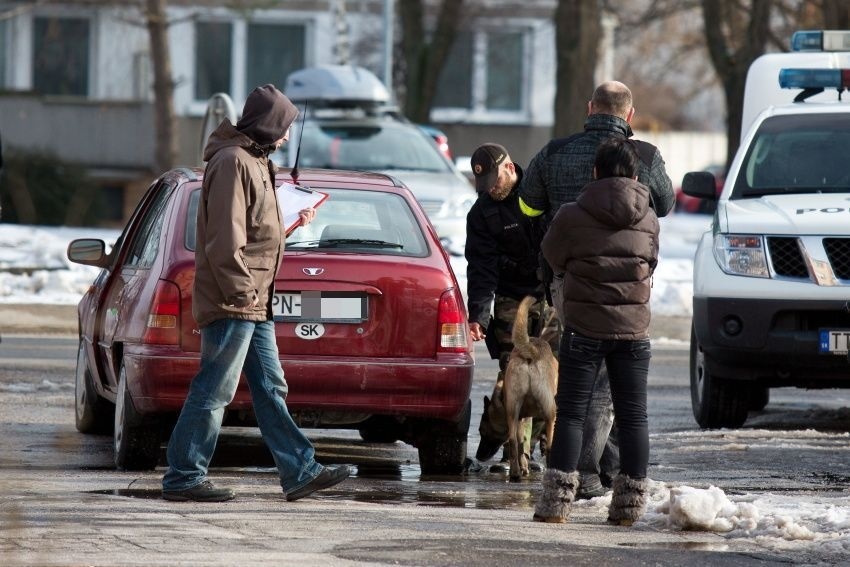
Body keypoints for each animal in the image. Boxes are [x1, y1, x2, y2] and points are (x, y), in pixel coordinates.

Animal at [476, 298, 556, 484]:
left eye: (482, 431)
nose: (478, 456)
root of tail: (531, 350)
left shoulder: (520, 417)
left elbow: (521, 445)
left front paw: (524, 466)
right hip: (548, 412)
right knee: (547, 444)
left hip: (516, 412)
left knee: (513, 442)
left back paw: (515, 473)